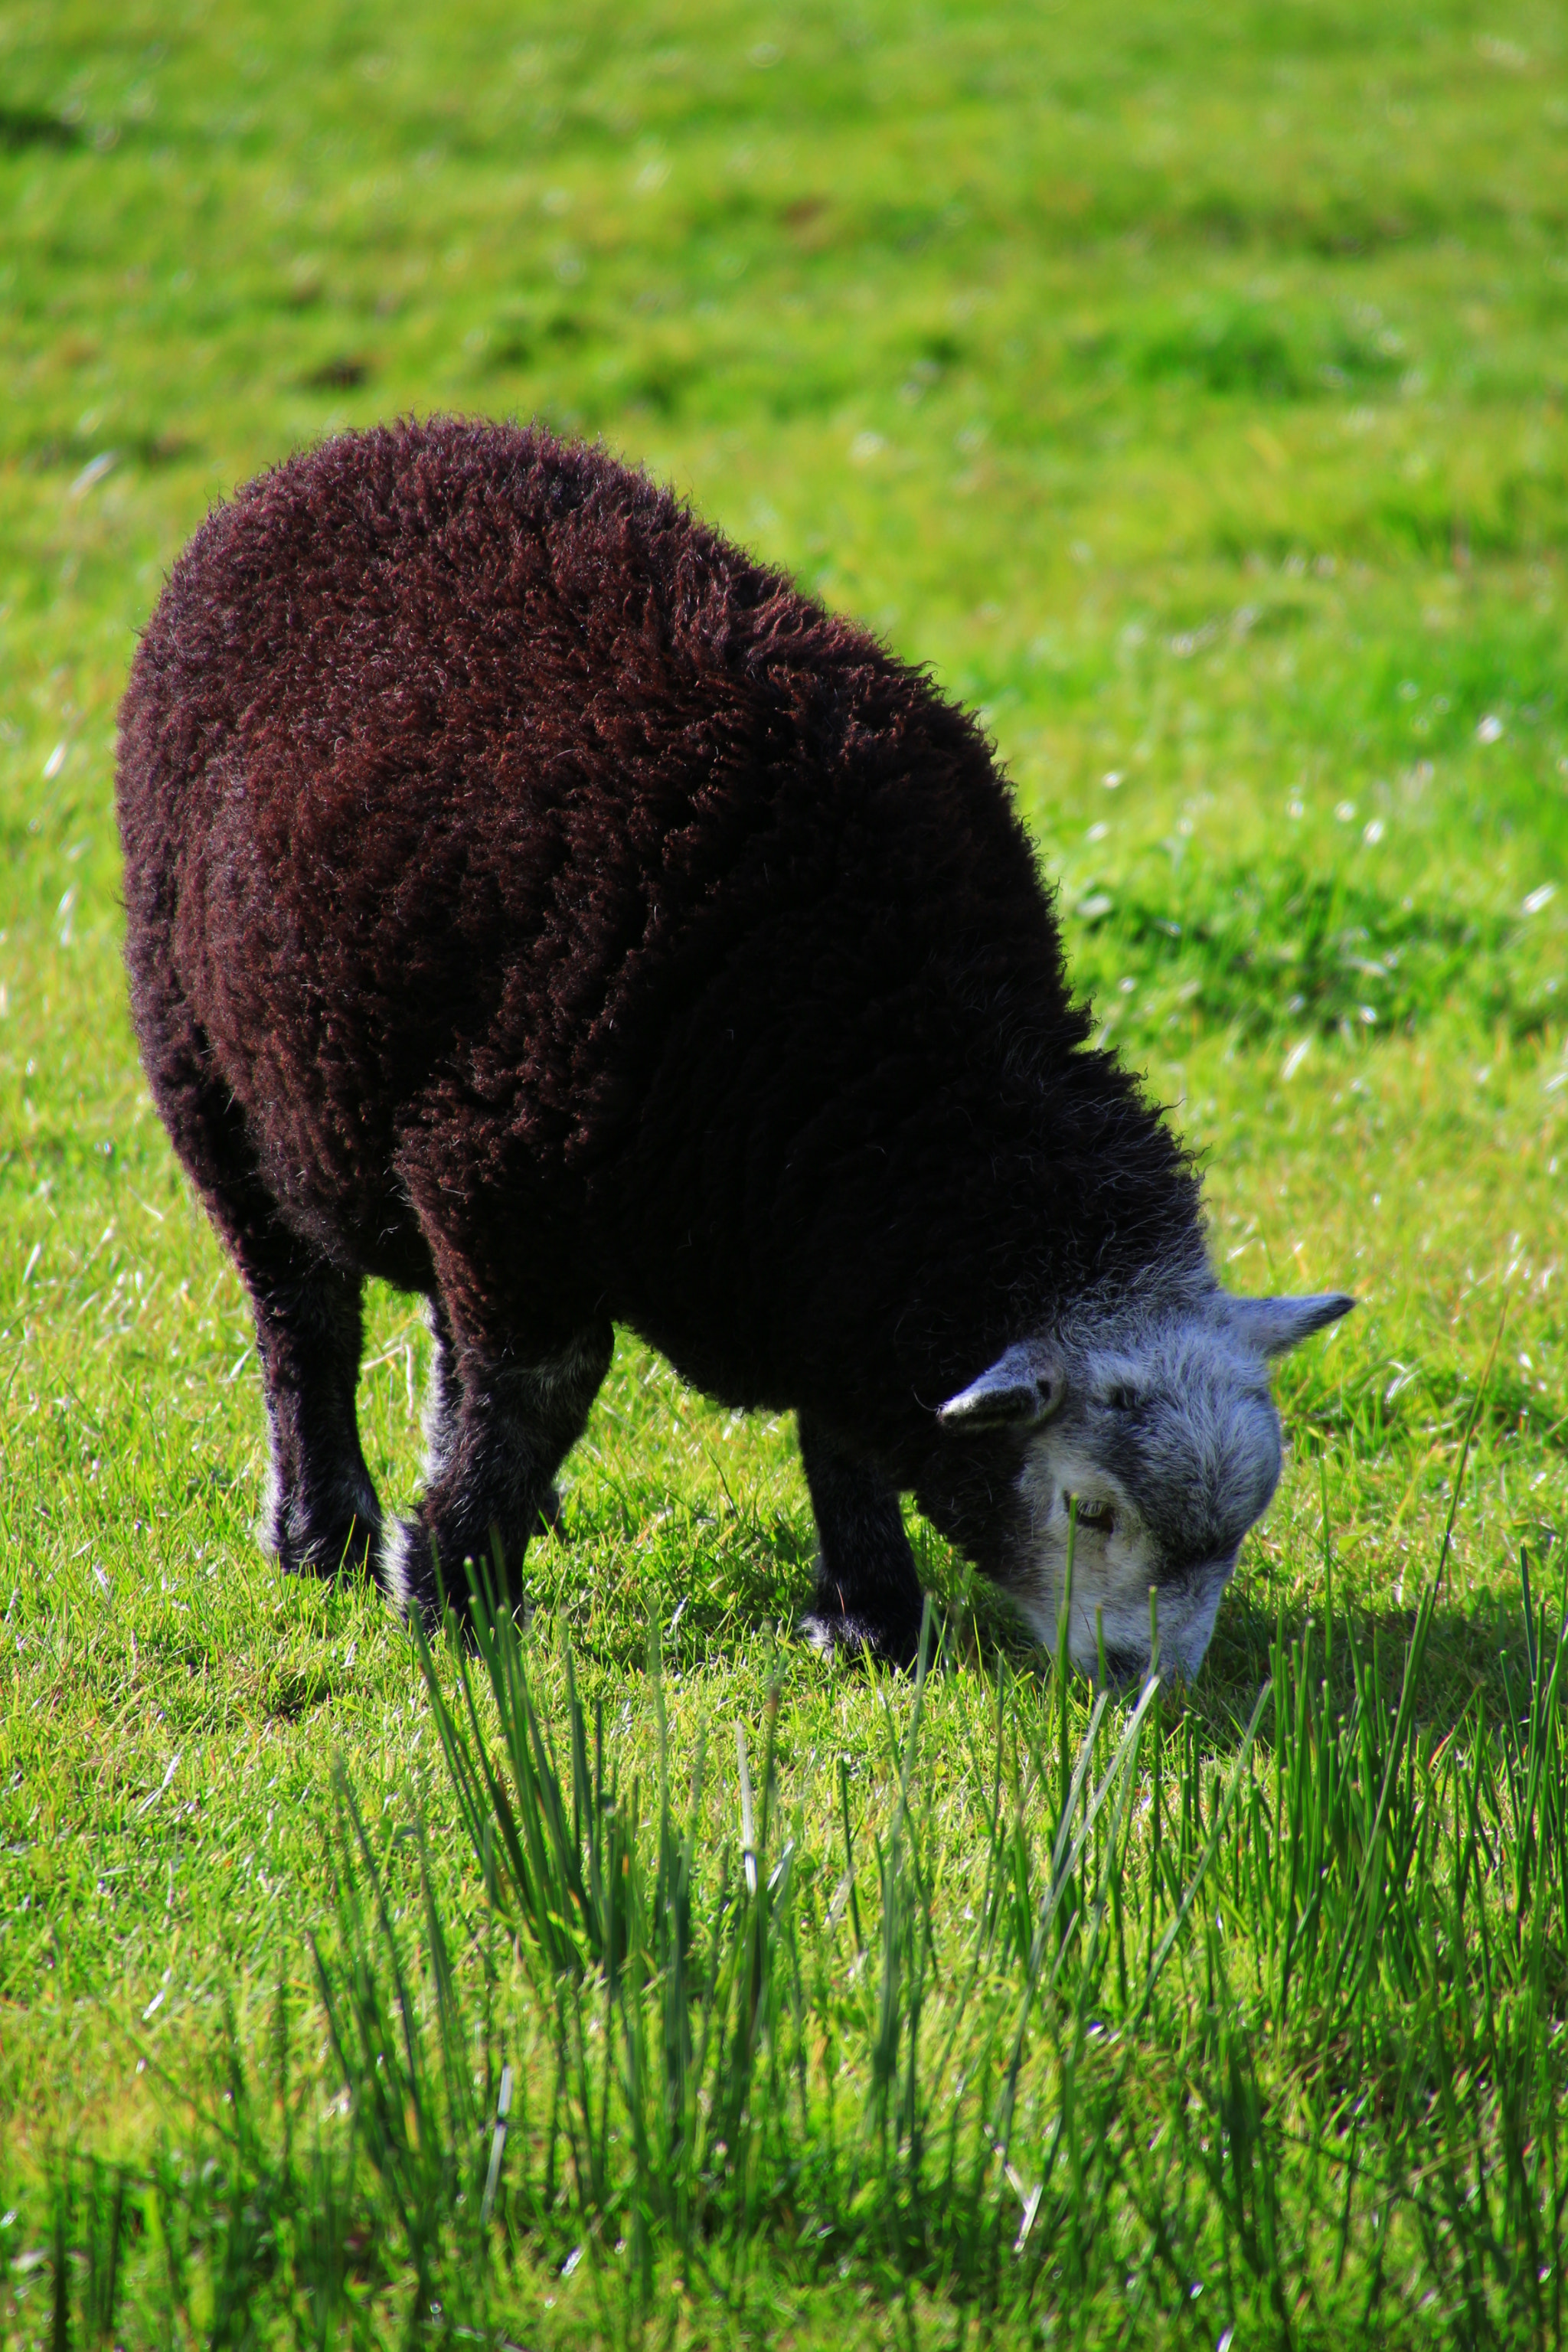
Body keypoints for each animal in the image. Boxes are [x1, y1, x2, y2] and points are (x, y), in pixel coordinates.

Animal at [115, 416, 1351, 1683]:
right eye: (1090, 1509)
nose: (1151, 1689)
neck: (891, 1060)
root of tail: (355, 447)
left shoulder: (817, 1246)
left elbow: (840, 1423)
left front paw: (868, 1622)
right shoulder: (504, 1185)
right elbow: (537, 1397)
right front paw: (455, 1596)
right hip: (202, 1058)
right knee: (299, 1310)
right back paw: (328, 1534)